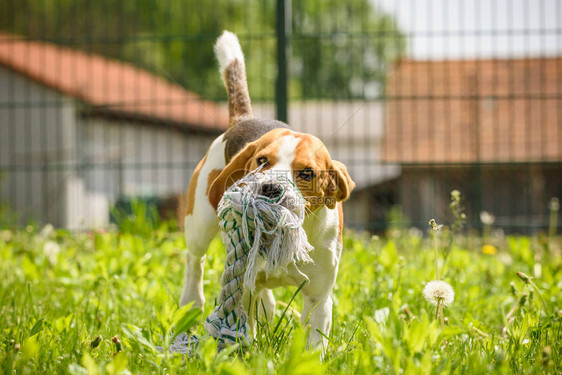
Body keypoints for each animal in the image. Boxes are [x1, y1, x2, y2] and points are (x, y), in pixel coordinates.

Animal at [179, 31, 354, 350]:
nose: (271, 187)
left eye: (307, 173)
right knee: (194, 260)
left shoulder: (319, 297)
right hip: (198, 224)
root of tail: (244, 119)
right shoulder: (244, 287)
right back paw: (191, 301)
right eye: (262, 161)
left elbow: (313, 342)